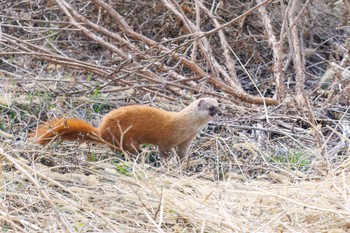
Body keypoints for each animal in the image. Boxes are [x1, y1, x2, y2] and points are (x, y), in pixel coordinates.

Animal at [30, 97, 221, 160]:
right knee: (128, 150)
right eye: (211, 108)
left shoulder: (186, 141)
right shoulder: (167, 140)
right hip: (127, 138)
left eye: (219, 104)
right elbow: (164, 151)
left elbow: (182, 154)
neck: (187, 129)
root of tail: (101, 130)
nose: (221, 112)